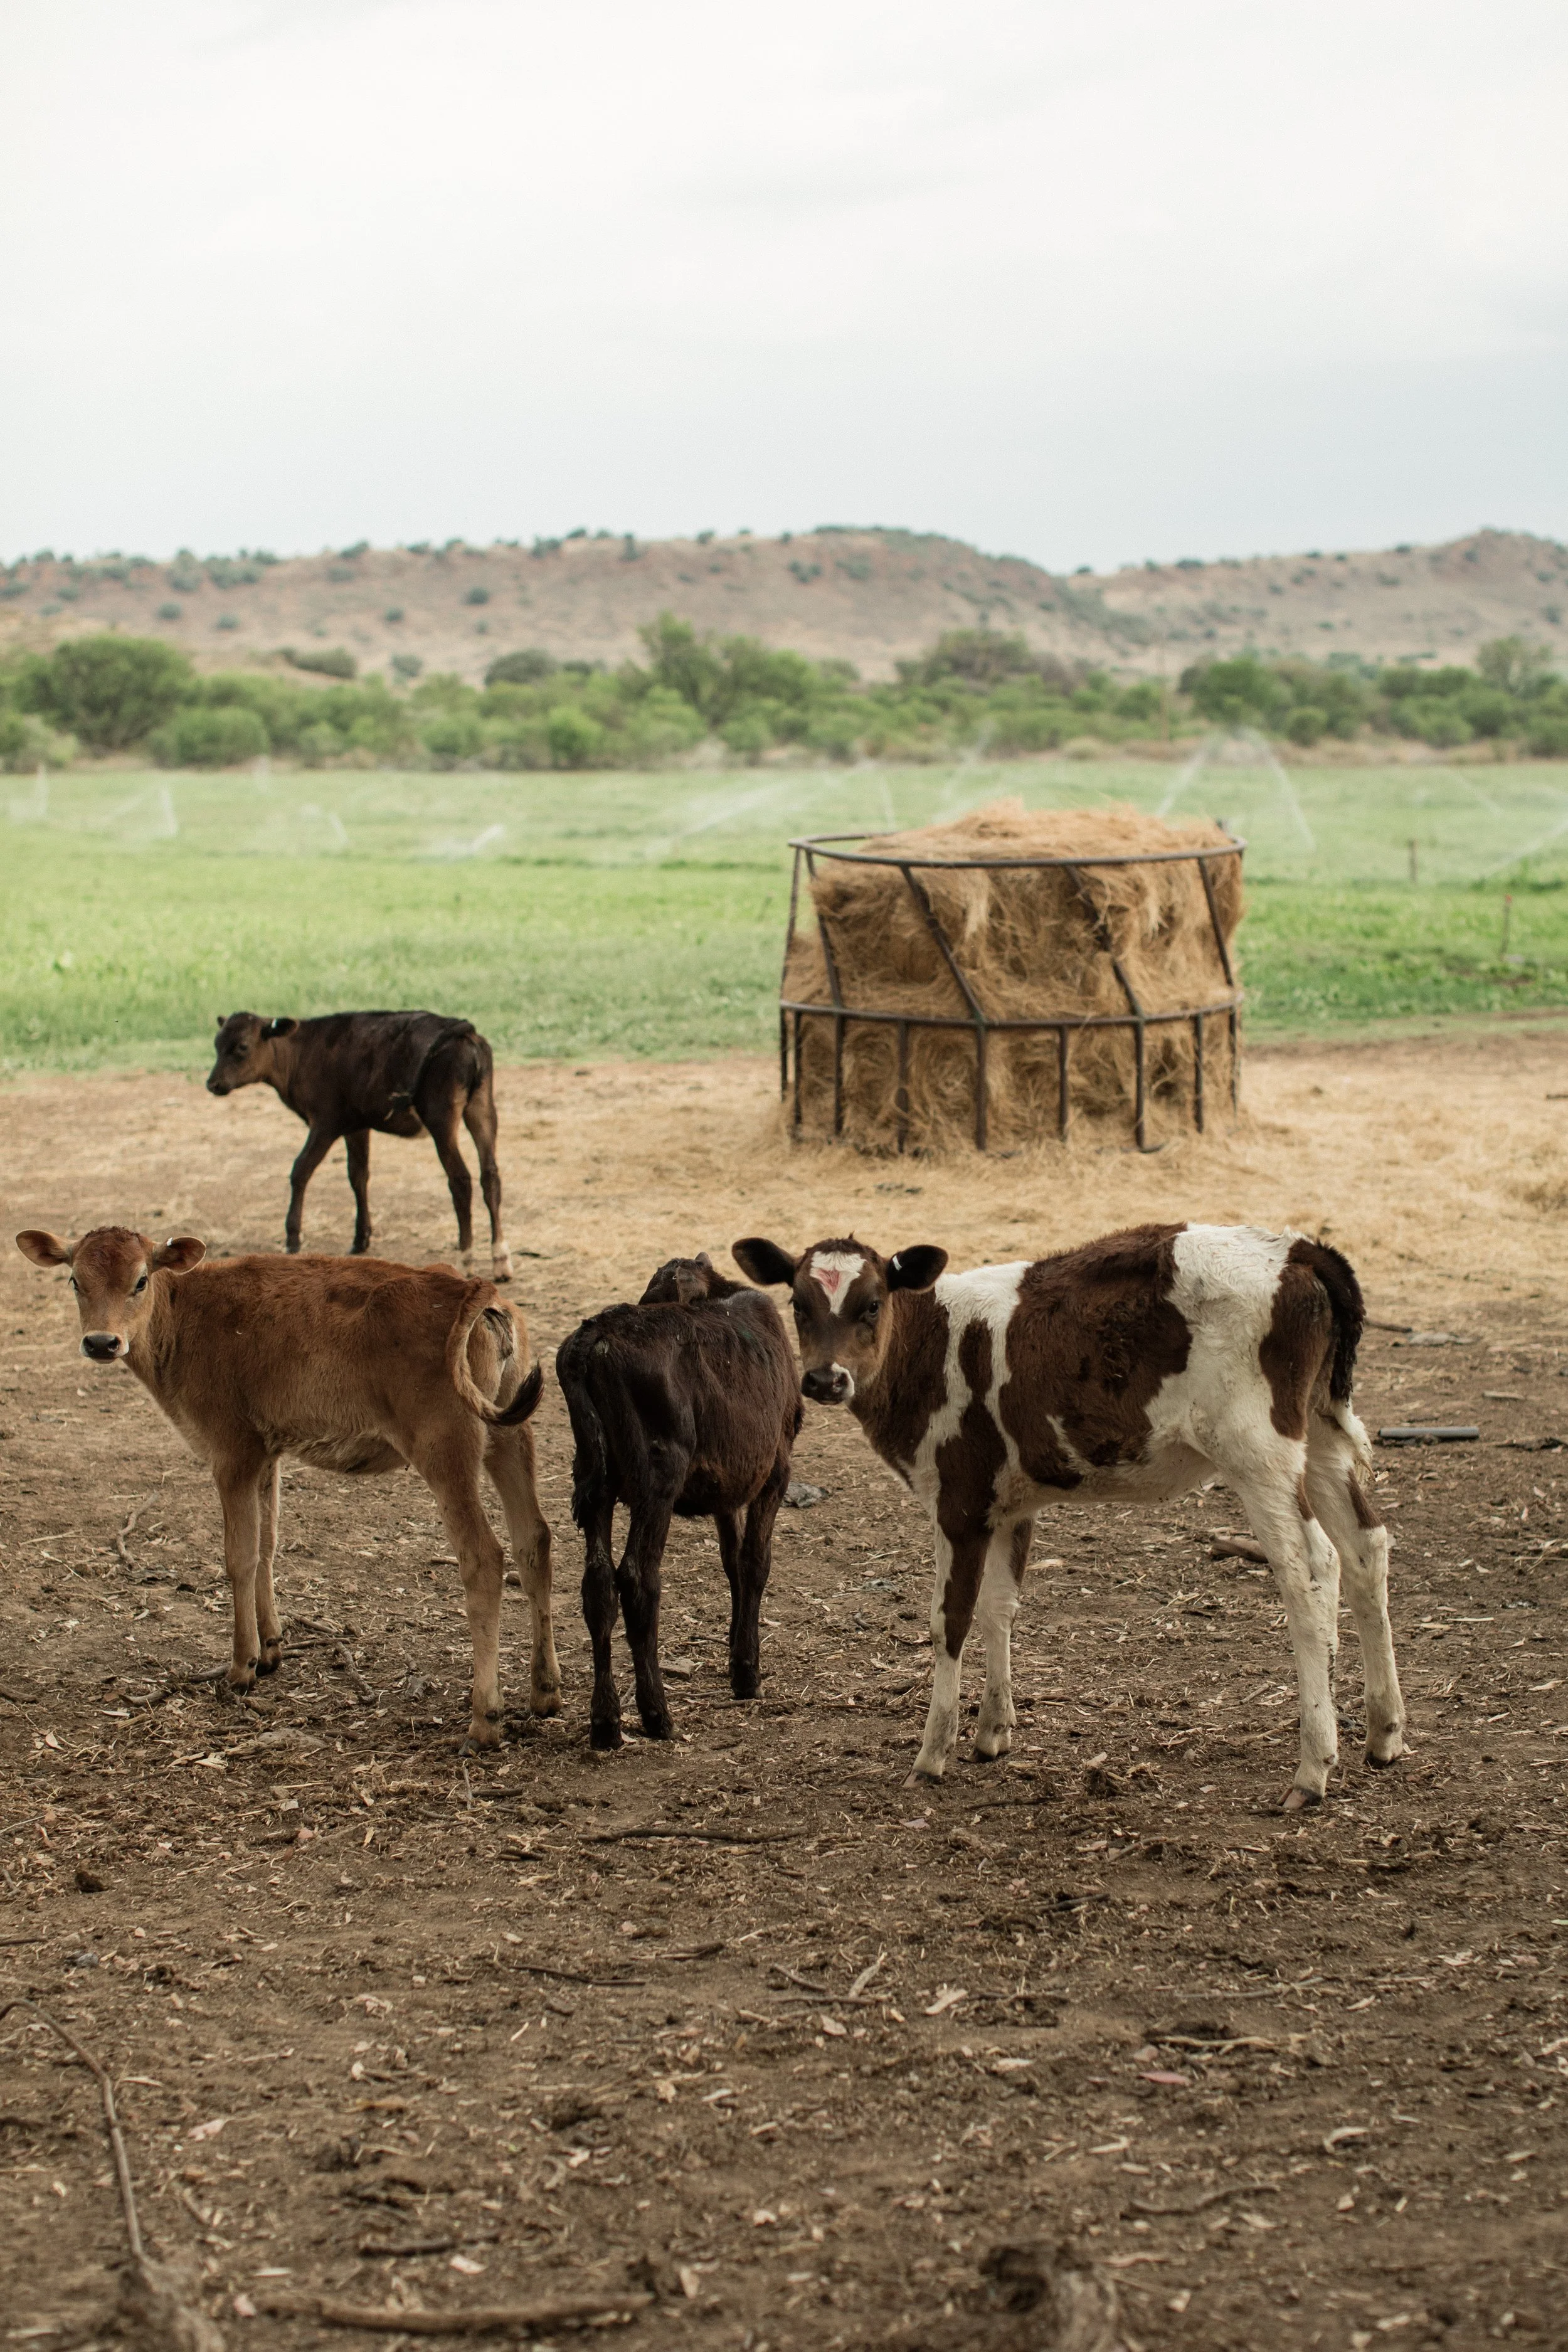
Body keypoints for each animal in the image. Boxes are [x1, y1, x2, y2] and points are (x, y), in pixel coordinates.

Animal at [15, 1226, 559, 1750]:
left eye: (141, 1280)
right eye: (75, 1279)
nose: (101, 1342)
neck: (185, 1314)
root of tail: (474, 1291)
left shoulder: (232, 1454)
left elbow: (239, 1556)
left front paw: (241, 1667)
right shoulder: (267, 1456)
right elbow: (268, 1546)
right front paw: (272, 1649)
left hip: (446, 1451)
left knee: (484, 1558)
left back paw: (483, 1722)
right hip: (510, 1437)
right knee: (534, 1539)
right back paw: (544, 1694)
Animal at [206, 1010, 511, 1279]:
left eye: (242, 1047)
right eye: (217, 1044)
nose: (212, 1084)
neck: (302, 1051)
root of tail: (462, 1032)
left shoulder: (326, 1122)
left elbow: (301, 1170)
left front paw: (293, 1238)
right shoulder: (357, 1126)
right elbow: (358, 1175)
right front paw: (360, 1239)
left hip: (442, 1119)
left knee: (460, 1179)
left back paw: (466, 1259)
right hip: (483, 1108)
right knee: (490, 1176)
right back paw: (500, 1259)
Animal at [555, 1254, 801, 1750]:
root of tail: (594, 1338)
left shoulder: (729, 1489)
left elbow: (732, 1561)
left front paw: (735, 1657)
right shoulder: (775, 1471)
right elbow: (755, 1562)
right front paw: (748, 1672)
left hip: (593, 1477)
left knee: (597, 1585)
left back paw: (605, 1722)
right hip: (658, 1477)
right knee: (637, 1580)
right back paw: (656, 1714)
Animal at [732, 1223, 1405, 1812]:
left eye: (872, 1305)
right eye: (798, 1304)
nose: (825, 1378)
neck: (933, 1343)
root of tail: (1300, 1249)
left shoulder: (958, 1500)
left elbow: (950, 1619)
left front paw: (932, 1754)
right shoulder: (1009, 1504)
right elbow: (999, 1607)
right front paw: (993, 1732)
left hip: (1258, 1451)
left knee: (1311, 1570)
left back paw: (1313, 1769)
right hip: (1321, 1430)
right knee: (1366, 1548)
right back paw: (1384, 1734)